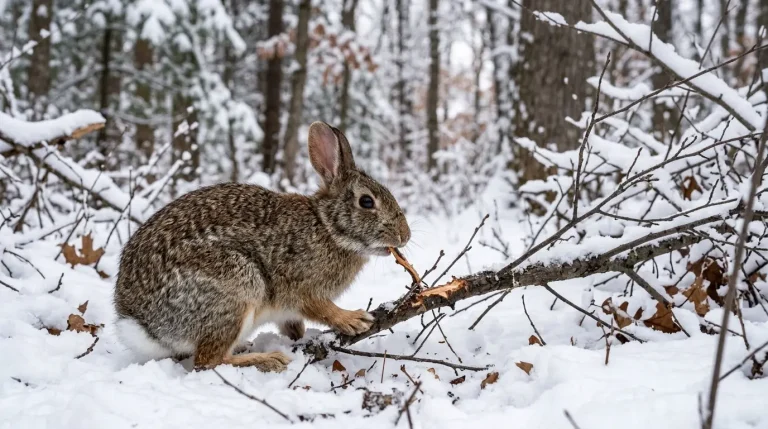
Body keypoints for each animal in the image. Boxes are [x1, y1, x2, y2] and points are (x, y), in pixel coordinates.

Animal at [114, 121, 410, 373]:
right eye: (367, 202)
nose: (404, 236)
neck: (327, 226)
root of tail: (143, 325)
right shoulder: (301, 286)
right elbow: (320, 308)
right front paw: (353, 319)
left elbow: (293, 324)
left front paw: (300, 335)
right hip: (239, 286)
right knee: (208, 361)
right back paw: (269, 359)